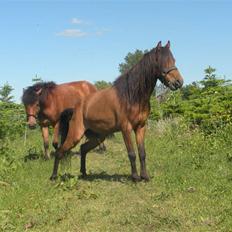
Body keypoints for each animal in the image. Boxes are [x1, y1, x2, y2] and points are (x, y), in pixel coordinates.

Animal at [50, 41, 183, 181]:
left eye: (173, 60)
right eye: (162, 61)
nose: (179, 82)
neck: (131, 96)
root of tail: (74, 109)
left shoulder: (140, 127)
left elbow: (142, 153)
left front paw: (145, 176)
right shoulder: (126, 129)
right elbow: (132, 154)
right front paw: (135, 177)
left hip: (98, 137)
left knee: (83, 148)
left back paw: (84, 173)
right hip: (75, 135)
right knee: (59, 152)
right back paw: (53, 177)